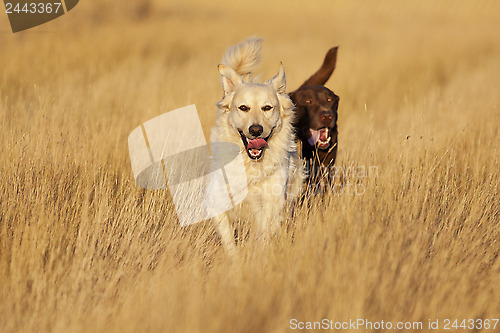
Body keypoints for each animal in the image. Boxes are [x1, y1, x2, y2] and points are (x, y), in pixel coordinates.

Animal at [209, 37, 302, 250]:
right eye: (243, 108)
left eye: (267, 107)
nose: (256, 130)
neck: (250, 165)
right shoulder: (218, 199)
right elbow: (228, 238)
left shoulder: (272, 201)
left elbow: (263, 234)